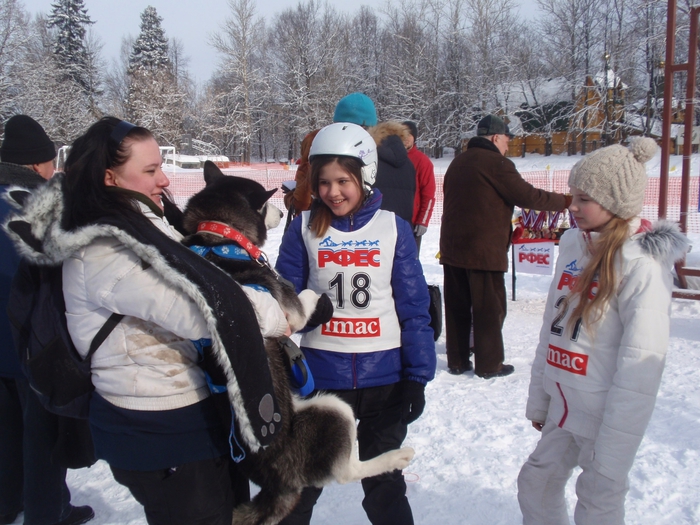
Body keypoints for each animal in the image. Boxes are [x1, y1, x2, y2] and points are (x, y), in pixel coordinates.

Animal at [182, 161, 416, 524]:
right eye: (267, 205)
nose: (282, 212)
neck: (218, 236)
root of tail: (277, 483)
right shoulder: (289, 309)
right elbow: (303, 294)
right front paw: (320, 300)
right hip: (333, 409)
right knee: (347, 472)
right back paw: (395, 456)